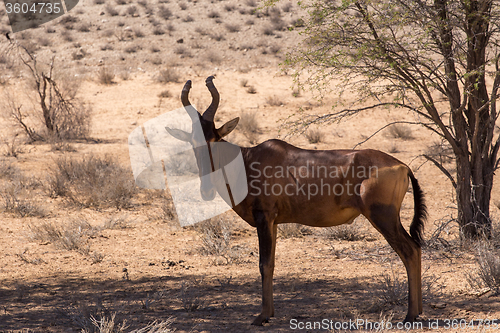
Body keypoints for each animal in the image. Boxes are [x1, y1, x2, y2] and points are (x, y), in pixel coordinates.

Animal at [166, 75, 428, 324]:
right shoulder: (273, 222)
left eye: (215, 139)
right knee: (415, 249)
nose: (206, 191)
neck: (249, 159)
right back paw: (417, 312)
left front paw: (261, 317)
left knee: (410, 251)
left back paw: (409, 315)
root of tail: (403, 166)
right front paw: (269, 313)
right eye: (193, 143)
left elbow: (264, 265)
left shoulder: (264, 218)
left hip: (383, 217)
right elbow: (271, 264)